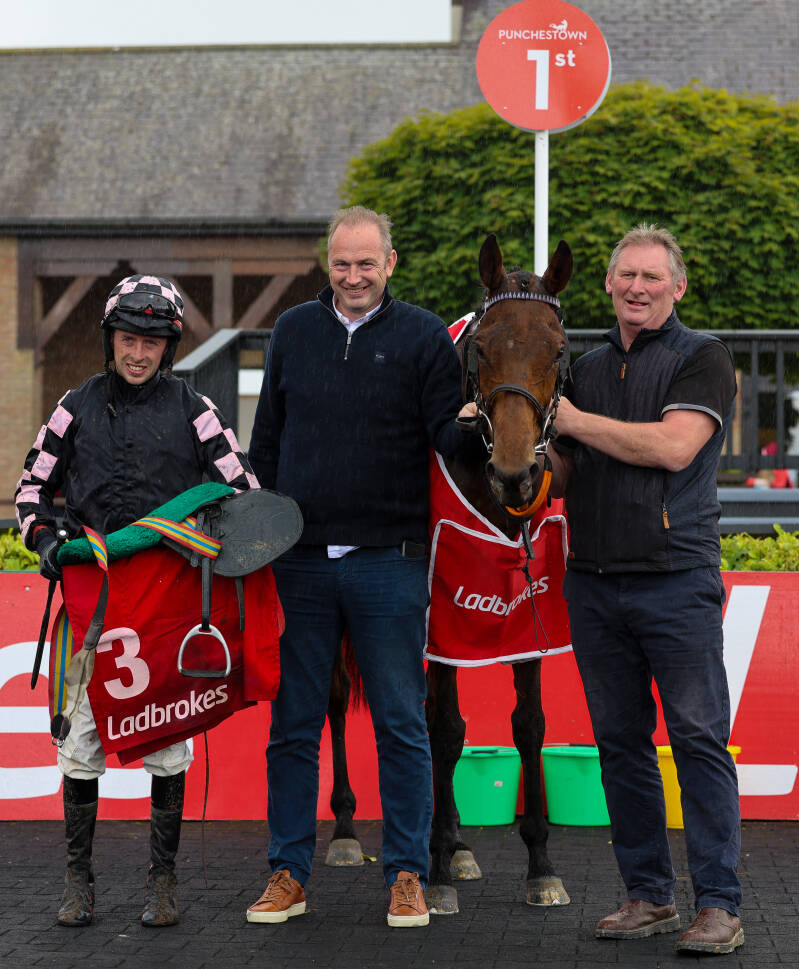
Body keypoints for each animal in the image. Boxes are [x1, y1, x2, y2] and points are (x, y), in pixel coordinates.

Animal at [324, 233, 573, 914]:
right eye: (481, 347)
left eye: (559, 349)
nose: (516, 472)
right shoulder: (439, 615)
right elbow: (442, 728)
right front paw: (430, 872)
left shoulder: (524, 606)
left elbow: (528, 725)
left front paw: (540, 864)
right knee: (339, 697)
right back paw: (348, 828)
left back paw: (459, 844)